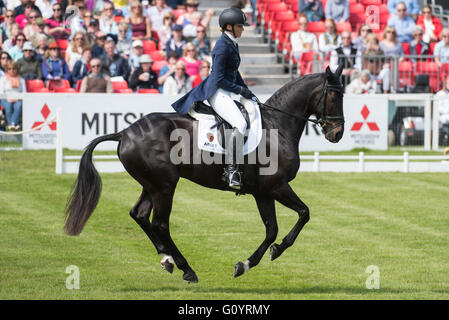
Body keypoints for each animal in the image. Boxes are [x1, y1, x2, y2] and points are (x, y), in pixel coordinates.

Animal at [63, 64, 344, 282]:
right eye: (334, 96)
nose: (337, 134)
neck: (278, 127)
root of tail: (124, 132)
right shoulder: (276, 186)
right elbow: (303, 213)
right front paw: (275, 252)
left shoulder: (263, 192)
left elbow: (272, 229)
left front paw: (246, 264)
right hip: (165, 186)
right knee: (160, 223)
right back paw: (186, 268)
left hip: (151, 184)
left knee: (139, 214)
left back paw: (167, 259)